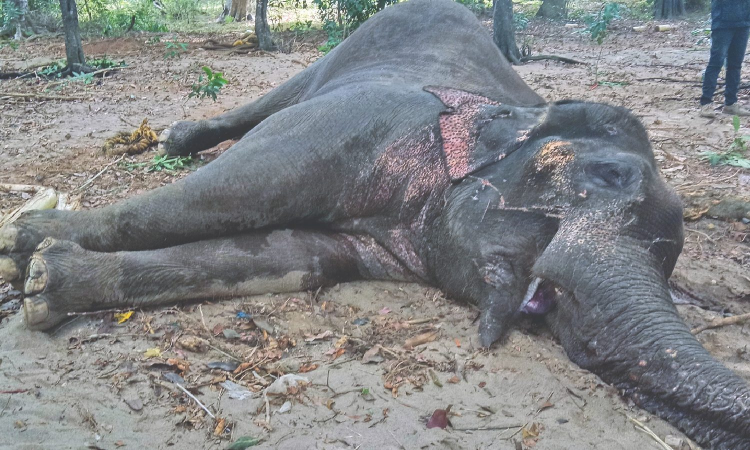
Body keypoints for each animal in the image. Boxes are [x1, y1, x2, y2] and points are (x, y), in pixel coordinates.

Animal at [0, 0, 748, 448]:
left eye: (669, 257)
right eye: (604, 176)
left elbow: (297, 257)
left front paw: (46, 282)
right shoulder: (360, 122)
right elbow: (226, 192)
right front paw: (25, 244)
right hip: (342, 52)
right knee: (262, 107)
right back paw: (174, 139)